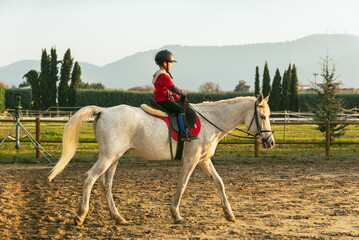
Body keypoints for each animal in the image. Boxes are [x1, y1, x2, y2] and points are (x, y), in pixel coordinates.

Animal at [48, 93, 276, 225]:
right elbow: (182, 185)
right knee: (89, 178)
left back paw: (118, 217)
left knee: (106, 184)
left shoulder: (204, 160)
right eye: (263, 117)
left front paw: (229, 214)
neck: (210, 121)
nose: (270, 142)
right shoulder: (192, 160)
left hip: (114, 157)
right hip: (108, 156)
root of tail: (103, 111)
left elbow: (219, 183)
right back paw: (80, 215)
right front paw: (176, 214)